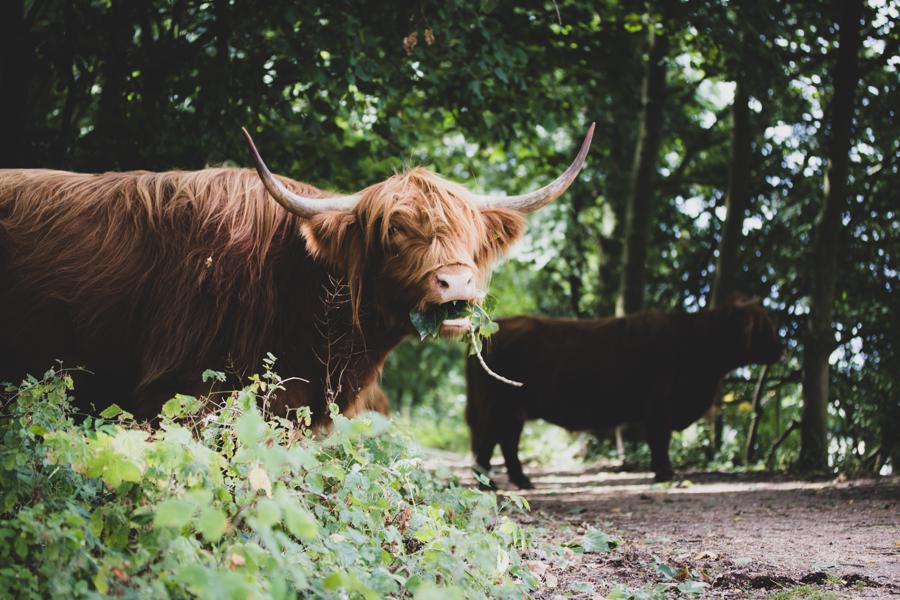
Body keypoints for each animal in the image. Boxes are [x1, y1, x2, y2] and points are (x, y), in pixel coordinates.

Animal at [464, 300, 780, 488]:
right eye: (766, 326)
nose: (782, 348)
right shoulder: (659, 403)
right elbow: (660, 440)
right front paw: (665, 473)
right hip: (500, 404)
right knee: (490, 441)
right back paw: (487, 483)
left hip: (512, 409)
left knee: (506, 442)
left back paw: (520, 481)